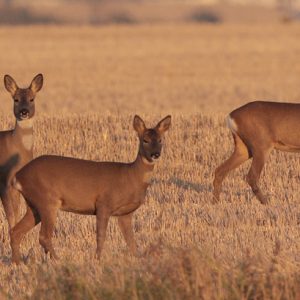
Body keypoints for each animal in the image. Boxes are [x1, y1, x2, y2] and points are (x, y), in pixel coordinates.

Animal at [0, 74, 43, 227]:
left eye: (32, 99)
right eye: (16, 99)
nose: (24, 112)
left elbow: (16, 213)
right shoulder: (4, 180)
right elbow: (11, 216)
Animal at [9, 113, 171, 264]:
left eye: (161, 140)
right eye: (145, 140)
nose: (155, 154)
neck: (131, 177)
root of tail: (18, 176)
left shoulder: (125, 213)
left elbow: (131, 242)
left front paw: (138, 260)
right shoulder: (104, 203)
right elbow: (101, 236)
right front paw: (98, 260)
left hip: (34, 205)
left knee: (16, 231)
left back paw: (17, 264)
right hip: (47, 200)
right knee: (43, 236)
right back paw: (58, 260)